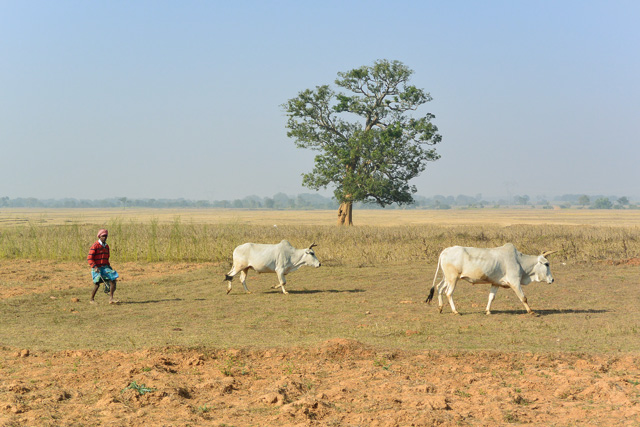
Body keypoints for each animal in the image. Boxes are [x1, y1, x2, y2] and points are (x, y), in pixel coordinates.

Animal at [428, 242, 556, 316]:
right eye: (547, 264)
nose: (552, 280)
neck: (519, 261)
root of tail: (445, 251)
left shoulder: (495, 284)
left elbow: (491, 297)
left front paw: (488, 311)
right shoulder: (515, 282)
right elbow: (523, 298)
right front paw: (531, 311)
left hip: (447, 278)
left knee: (439, 288)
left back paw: (440, 308)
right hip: (453, 279)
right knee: (448, 293)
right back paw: (455, 311)